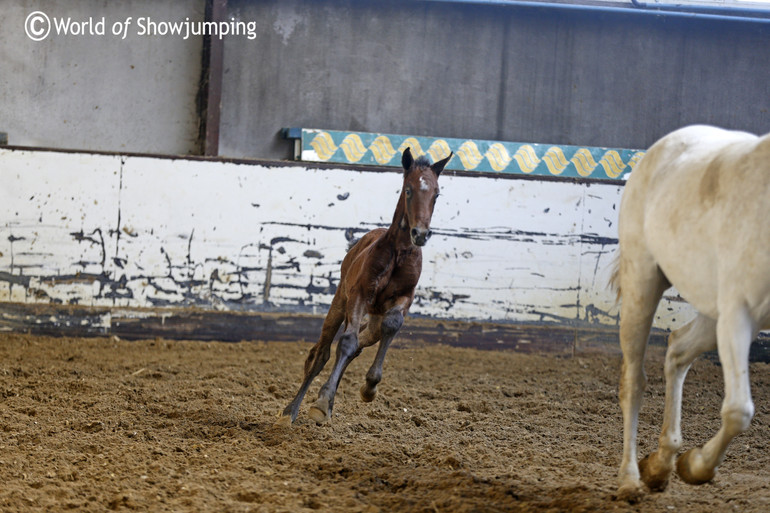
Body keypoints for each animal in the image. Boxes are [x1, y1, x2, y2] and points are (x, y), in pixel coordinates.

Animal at [278, 147, 450, 424]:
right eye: (409, 190)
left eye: (436, 193)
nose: (420, 234)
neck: (398, 253)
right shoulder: (360, 295)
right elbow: (345, 343)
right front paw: (321, 403)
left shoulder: (405, 297)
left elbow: (391, 325)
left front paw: (369, 387)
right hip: (340, 301)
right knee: (321, 353)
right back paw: (290, 411)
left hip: (374, 320)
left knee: (362, 340)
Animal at [608, 123, 764, 496]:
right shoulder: (738, 315)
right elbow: (738, 411)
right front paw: (696, 466)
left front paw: (688, 464)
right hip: (643, 286)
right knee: (633, 381)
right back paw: (631, 479)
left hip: (713, 315)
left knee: (677, 350)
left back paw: (660, 465)